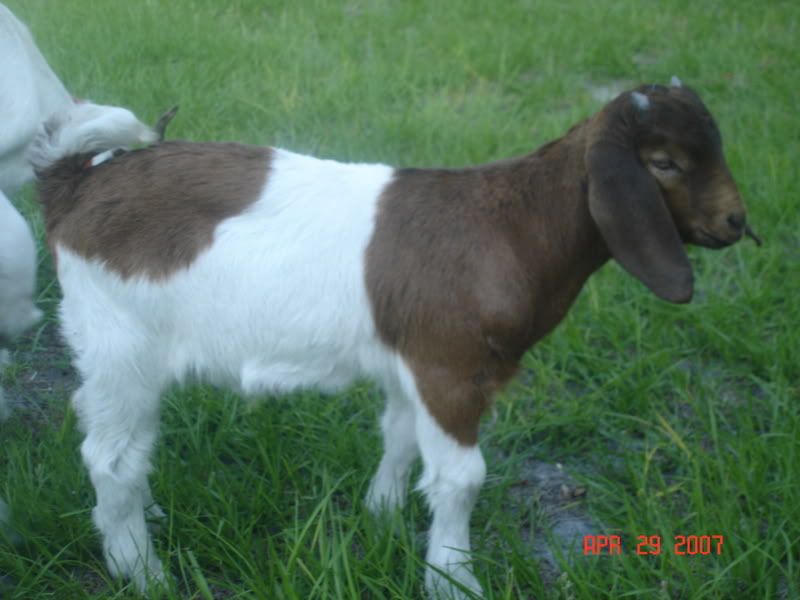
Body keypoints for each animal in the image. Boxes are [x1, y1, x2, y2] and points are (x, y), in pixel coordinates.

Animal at [32, 79, 751, 597]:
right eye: (665, 163)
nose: (735, 222)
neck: (510, 226)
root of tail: (75, 180)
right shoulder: (454, 368)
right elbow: (462, 477)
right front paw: (455, 580)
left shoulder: (415, 361)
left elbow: (401, 435)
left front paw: (381, 515)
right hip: (122, 341)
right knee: (112, 457)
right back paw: (142, 572)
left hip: (107, 351)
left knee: (105, 427)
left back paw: (147, 520)